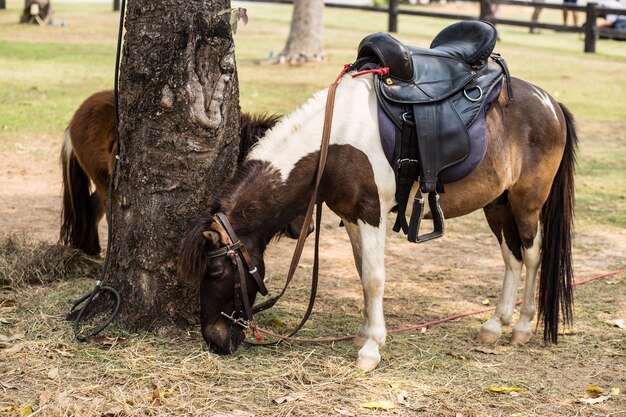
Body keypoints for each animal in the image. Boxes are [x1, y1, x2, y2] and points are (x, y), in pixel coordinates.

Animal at [177, 74, 576, 370]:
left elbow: (373, 278)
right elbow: (361, 272)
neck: (335, 141)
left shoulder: (371, 214)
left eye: (215, 271)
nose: (215, 339)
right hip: (497, 203)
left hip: (526, 202)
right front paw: (365, 331)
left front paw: (370, 348)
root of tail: (550, 103)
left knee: (532, 256)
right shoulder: (352, 215)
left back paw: (521, 328)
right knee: (511, 258)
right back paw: (495, 325)